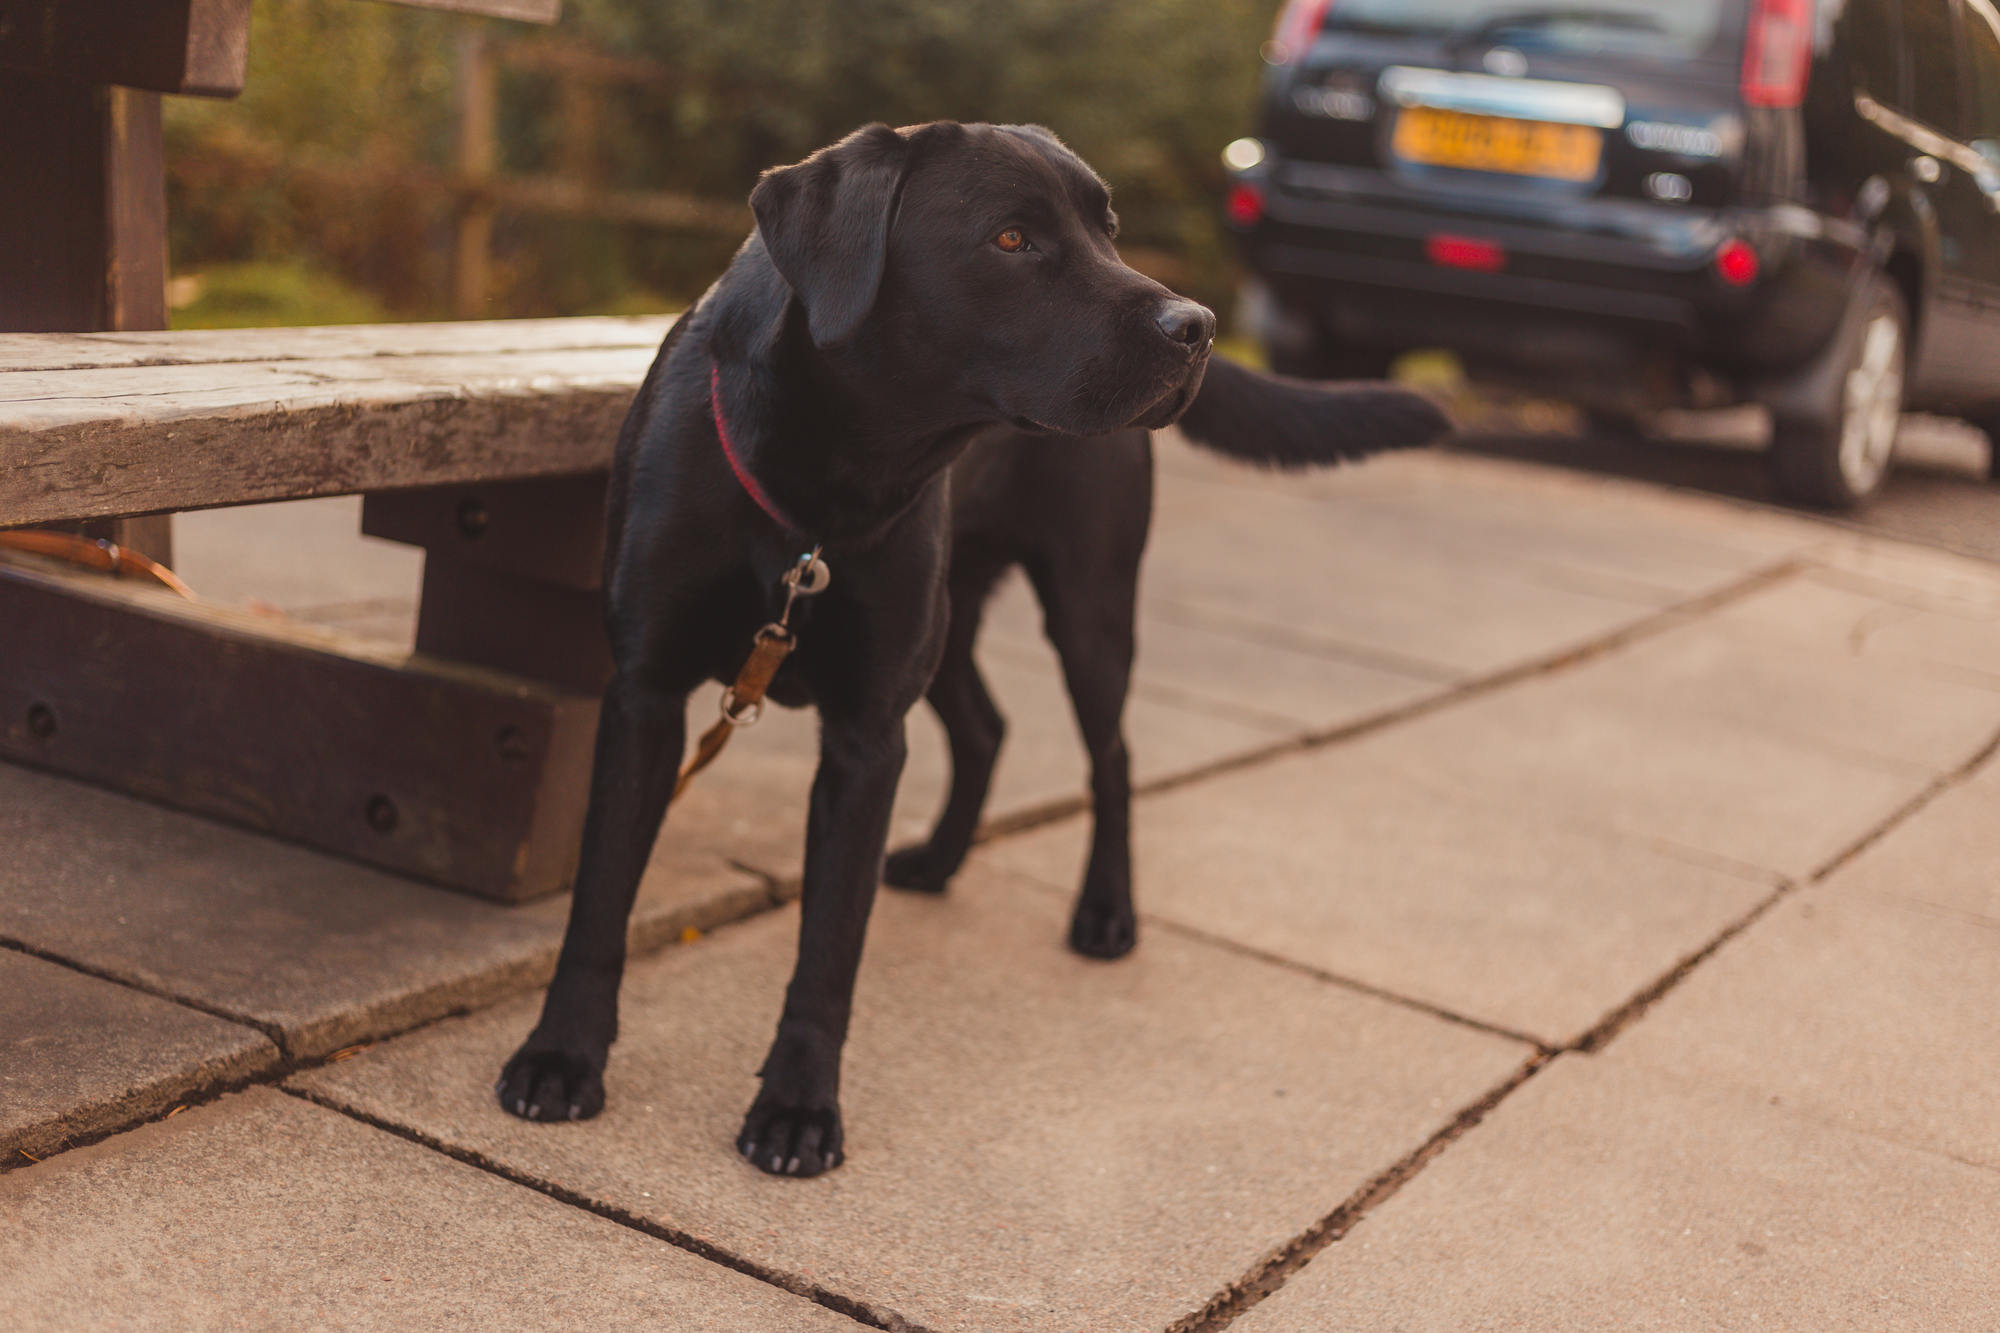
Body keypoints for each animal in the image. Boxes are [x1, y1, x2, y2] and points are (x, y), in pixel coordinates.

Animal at [492, 119, 1448, 1168]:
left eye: (1108, 228)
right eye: (1011, 240)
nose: (1194, 325)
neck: (826, 487)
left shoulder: (867, 733)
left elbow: (830, 944)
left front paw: (797, 1107)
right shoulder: (647, 692)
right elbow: (600, 901)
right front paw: (561, 1056)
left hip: (1087, 604)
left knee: (1111, 756)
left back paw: (1105, 912)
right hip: (950, 625)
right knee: (989, 728)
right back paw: (942, 861)